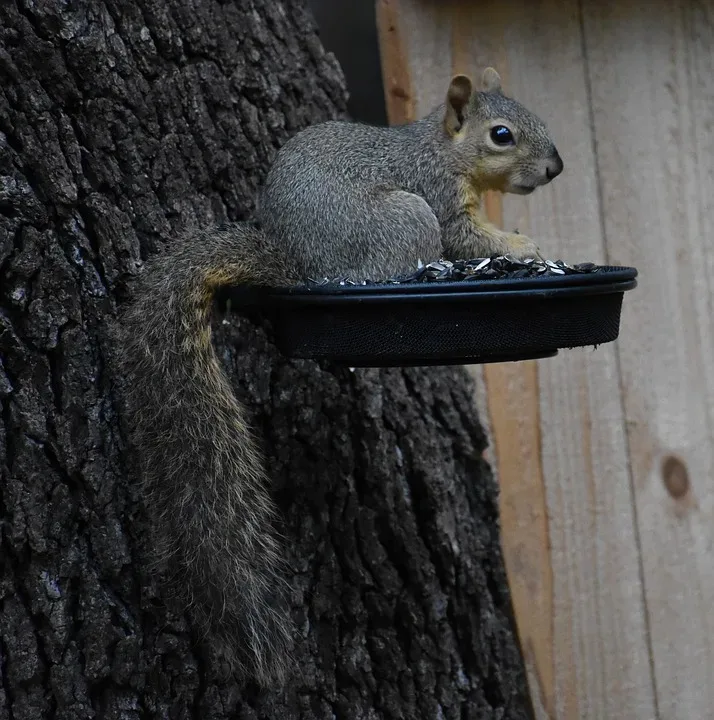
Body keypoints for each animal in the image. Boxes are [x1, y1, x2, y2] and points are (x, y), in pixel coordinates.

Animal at [118, 67, 560, 688]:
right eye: (502, 135)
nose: (555, 167)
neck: (443, 149)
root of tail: (298, 264)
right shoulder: (438, 197)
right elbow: (468, 238)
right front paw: (520, 246)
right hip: (403, 219)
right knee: (398, 265)